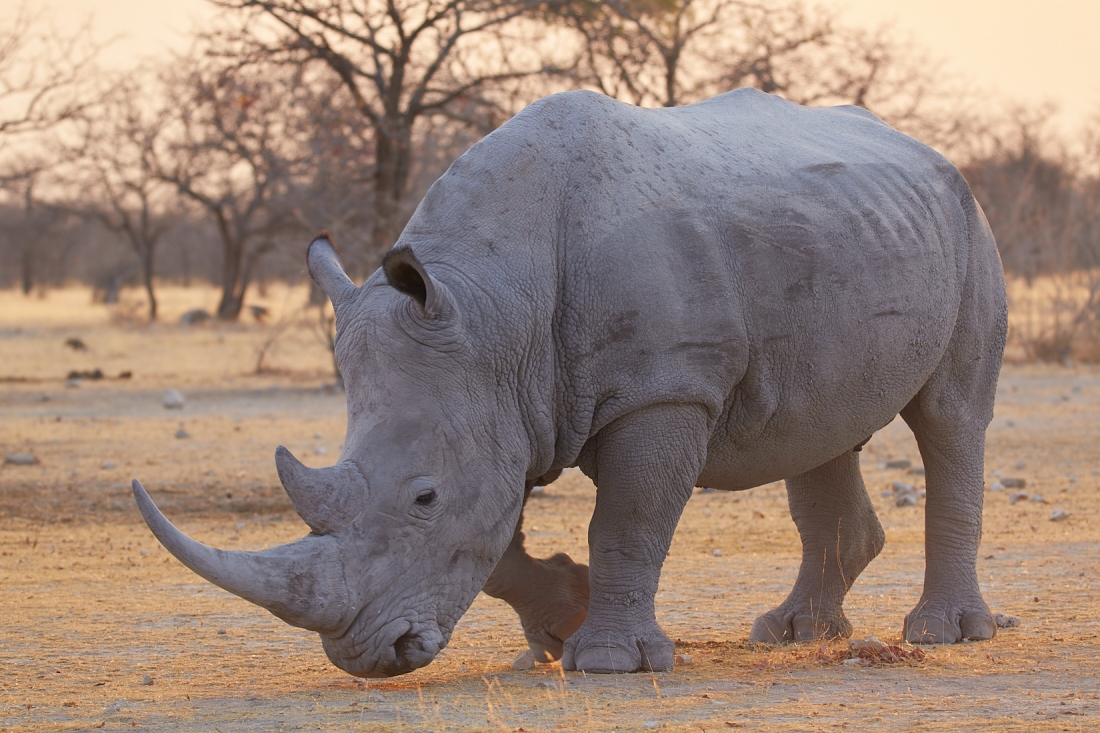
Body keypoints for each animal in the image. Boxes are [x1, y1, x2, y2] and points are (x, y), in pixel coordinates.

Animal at [133, 87, 1007, 677]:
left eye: (422, 498)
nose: (370, 655)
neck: (491, 304)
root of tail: (924, 147)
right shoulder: (493, 395)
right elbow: (494, 538)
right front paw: (559, 625)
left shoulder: (663, 385)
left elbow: (627, 519)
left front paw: (610, 662)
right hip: (854, 231)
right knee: (820, 434)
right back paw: (790, 634)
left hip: (968, 221)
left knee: (951, 417)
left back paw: (945, 633)